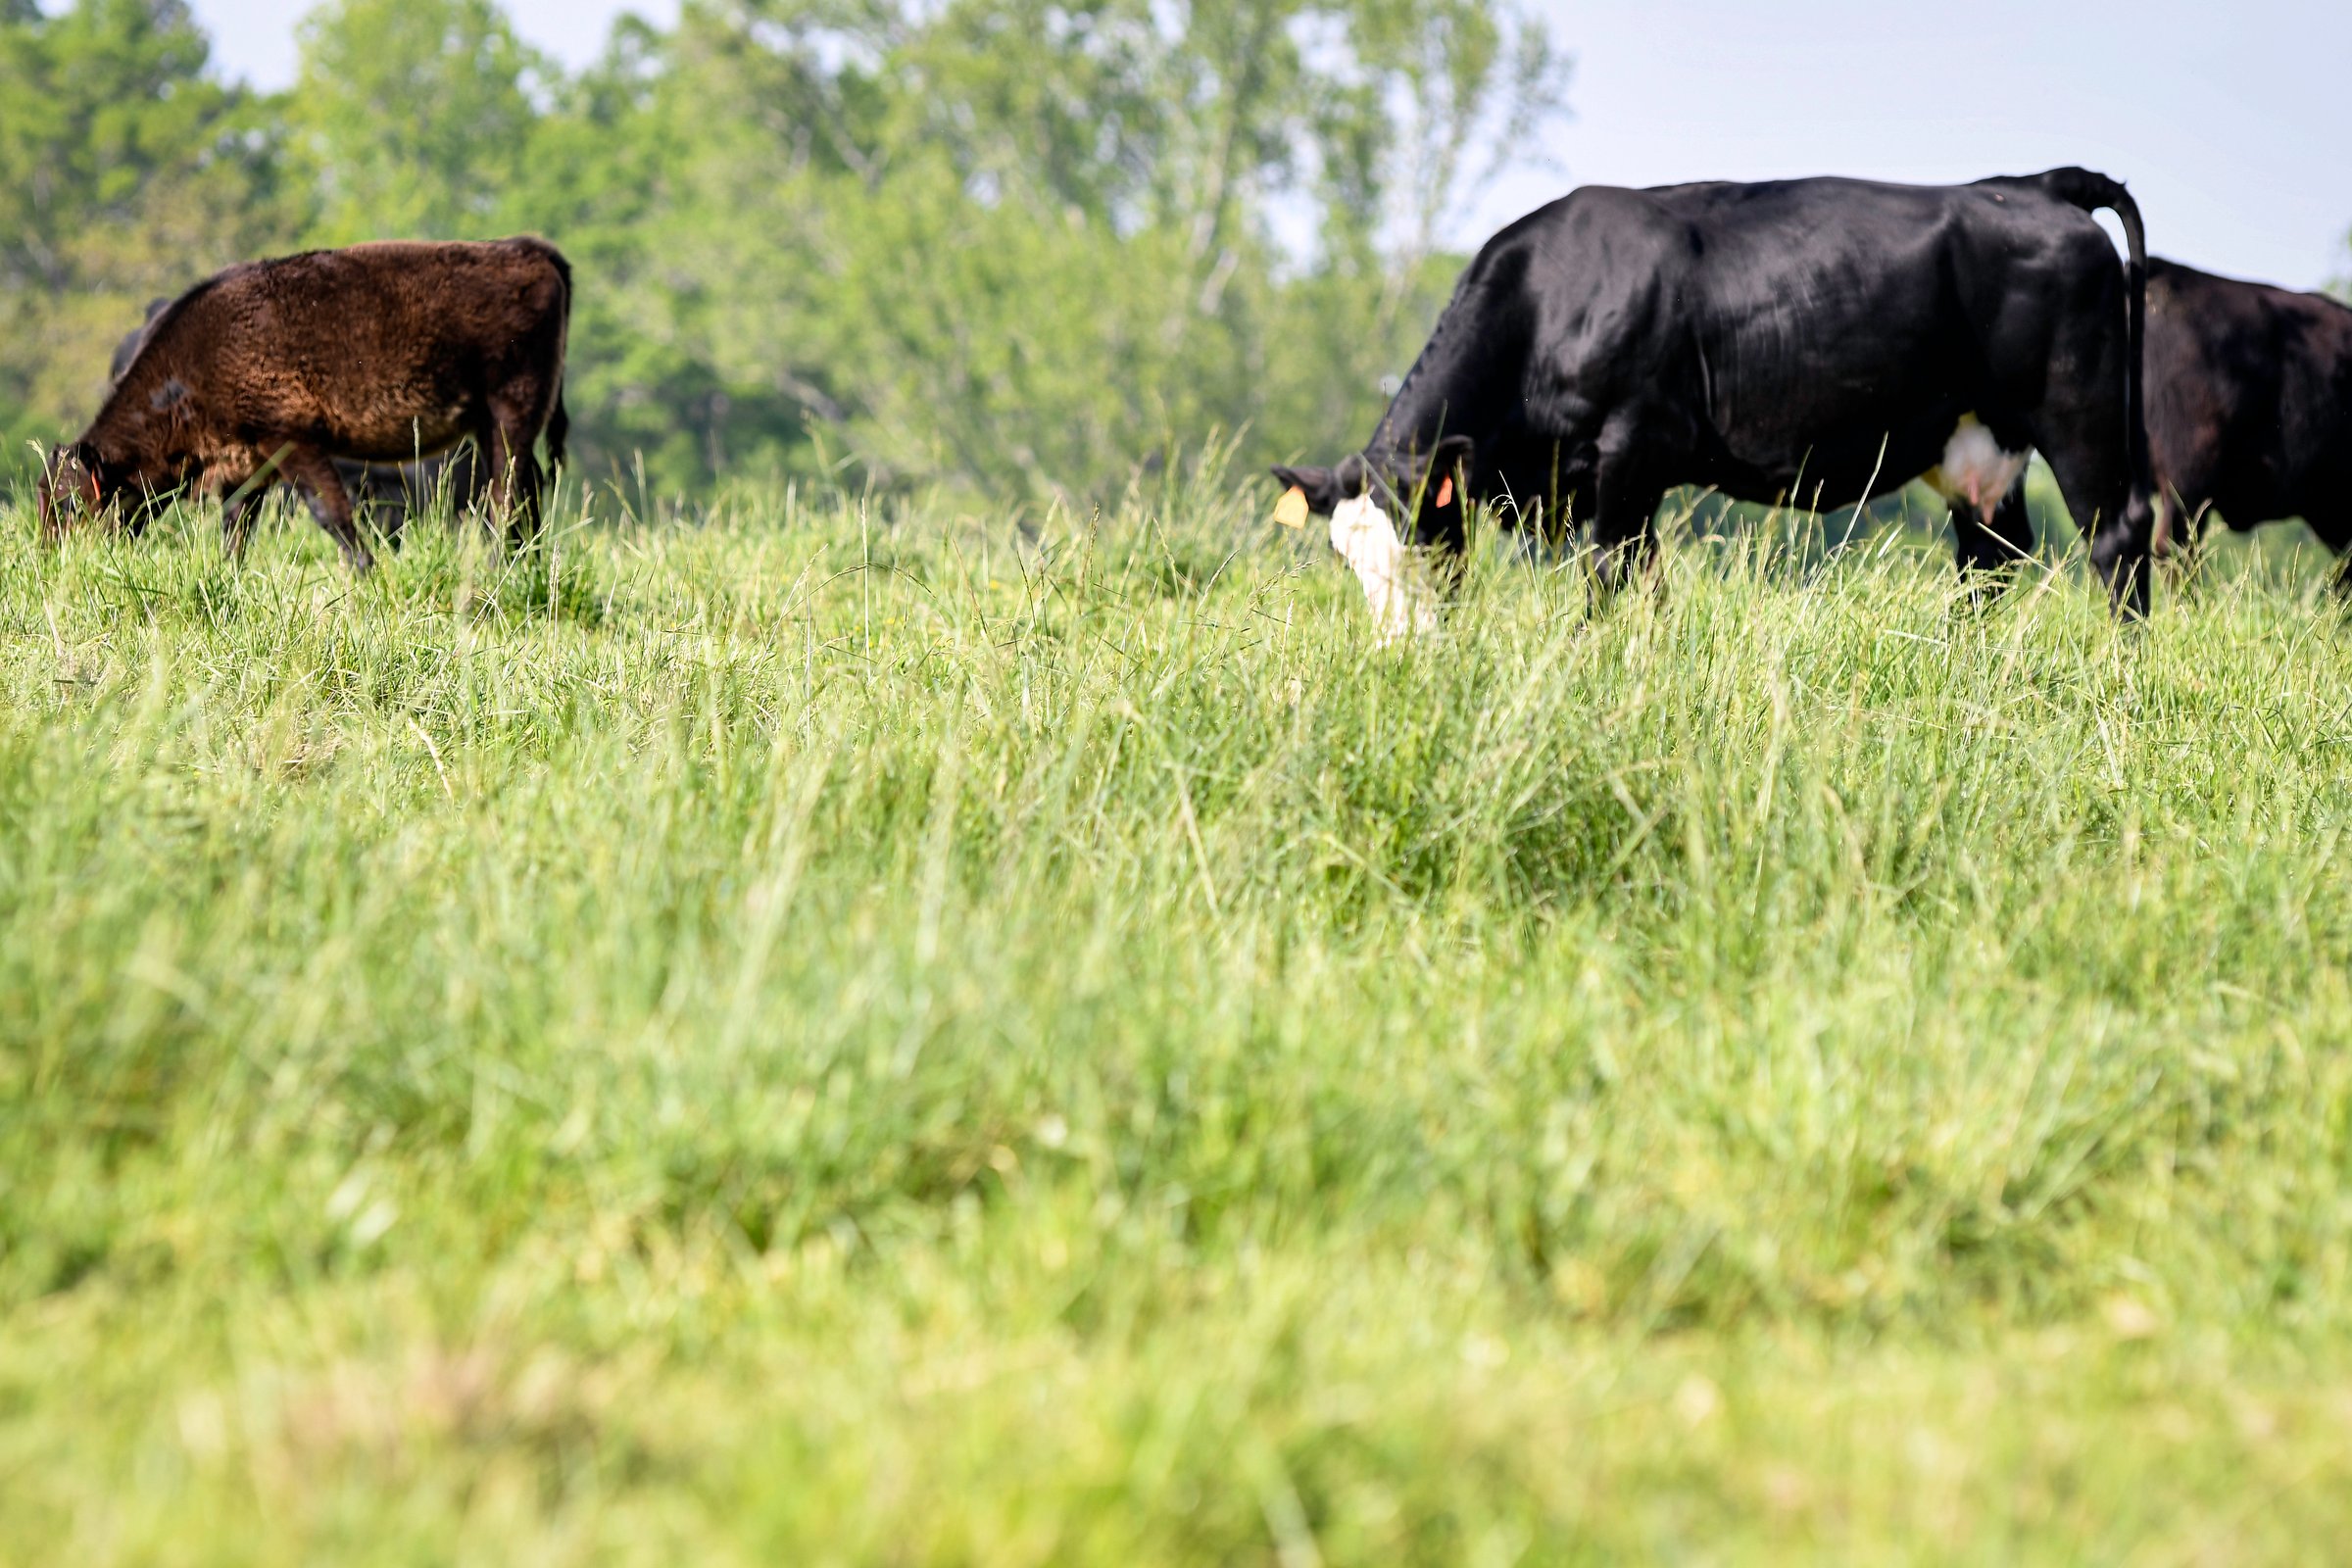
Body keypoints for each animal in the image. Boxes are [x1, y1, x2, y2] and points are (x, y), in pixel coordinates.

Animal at [41, 237, 571, 571]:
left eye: (68, 502)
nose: (50, 559)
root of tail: (527, 250)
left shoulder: (291, 441)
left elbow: (330, 513)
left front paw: (365, 575)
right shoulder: (247, 464)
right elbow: (235, 529)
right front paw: (225, 578)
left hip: (509, 415)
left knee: (507, 496)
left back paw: (497, 571)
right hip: (491, 425)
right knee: (525, 496)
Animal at [1271, 167, 2158, 637]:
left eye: (1421, 543)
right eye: (1346, 559)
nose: (1402, 651)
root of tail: (2030, 185)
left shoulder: (1631, 450)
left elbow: (1607, 573)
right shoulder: (1609, 482)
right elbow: (1644, 576)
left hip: (2080, 420)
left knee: (2116, 540)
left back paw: (2122, 663)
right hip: (1976, 442)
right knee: (1991, 555)